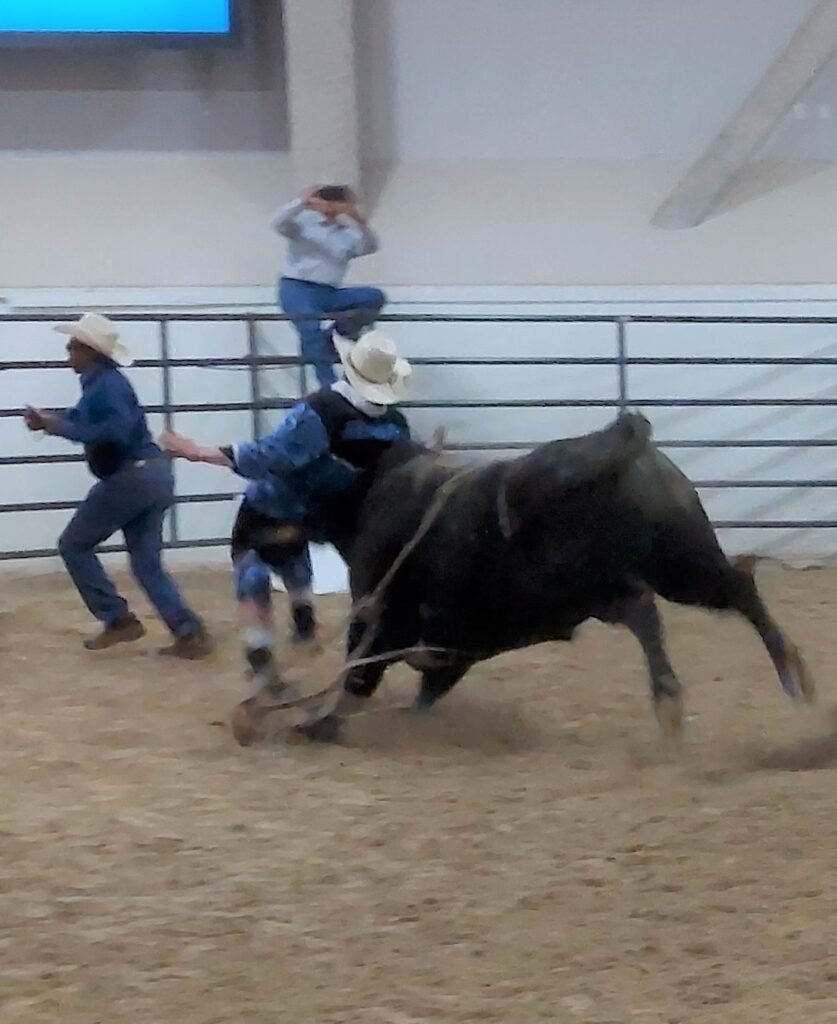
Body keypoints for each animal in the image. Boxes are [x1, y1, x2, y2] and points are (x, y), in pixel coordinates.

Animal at [232, 411, 814, 745]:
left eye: (282, 470)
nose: (243, 528)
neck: (372, 487)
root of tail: (617, 441)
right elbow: (424, 681)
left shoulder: (382, 615)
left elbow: (358, 674)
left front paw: (312, 722)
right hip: (676, 562)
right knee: (722, 590)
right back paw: (782, 675)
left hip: (625, 577)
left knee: (677, 603)